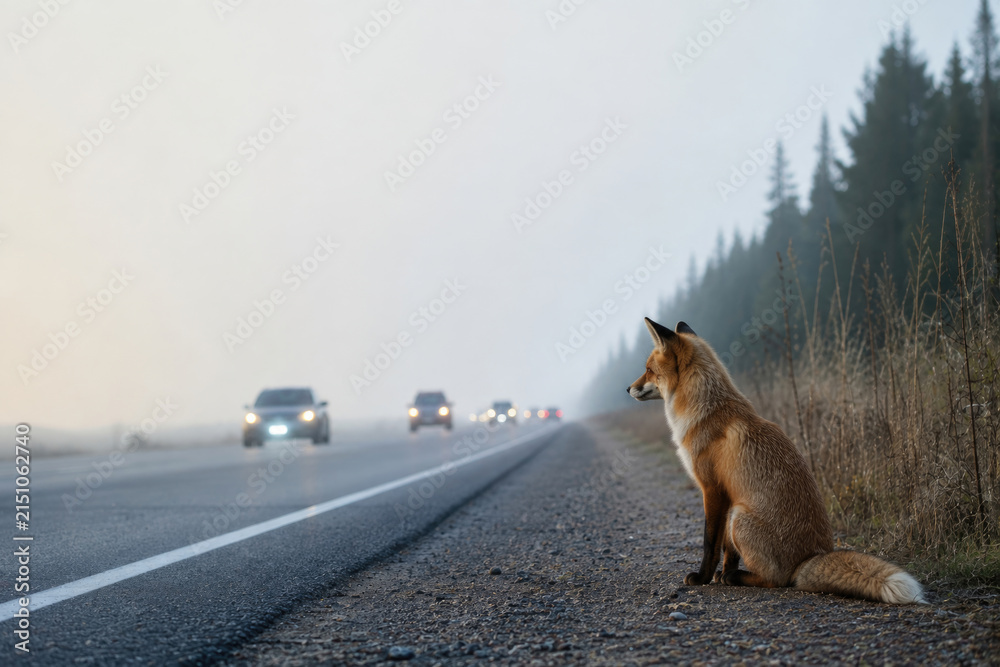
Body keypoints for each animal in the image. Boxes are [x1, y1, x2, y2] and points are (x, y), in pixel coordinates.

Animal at [627, 317, 925, 604]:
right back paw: (732, 575)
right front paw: (721, 574)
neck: (707, 409)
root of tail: (810, 557)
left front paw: (702, 578)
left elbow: (709, 543)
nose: (628, 388)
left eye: (649, 369)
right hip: (737, 513)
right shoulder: (729, 495)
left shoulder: (713, 490)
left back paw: (738, 578)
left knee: (777, 580)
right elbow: (728, 551)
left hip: (740, 518)